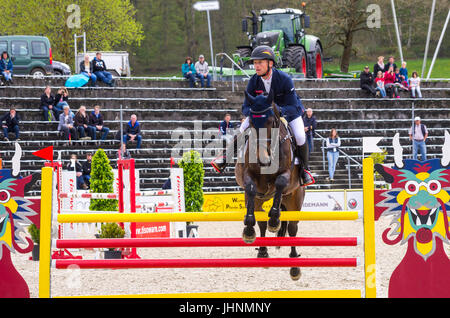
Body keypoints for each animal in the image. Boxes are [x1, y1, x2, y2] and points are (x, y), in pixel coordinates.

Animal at [236, 90, 306, 280]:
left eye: (270, 122)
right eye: (252, 123)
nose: (263, 159)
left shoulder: (286, 175)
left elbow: (280, 183)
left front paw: (274, 220)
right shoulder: (249, 176)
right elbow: (251, 188)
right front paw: (248, 231)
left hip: (295, 199)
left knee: (293, 228)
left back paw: (294, 267)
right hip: (259, 200)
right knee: (260, 218)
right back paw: (261, 250)